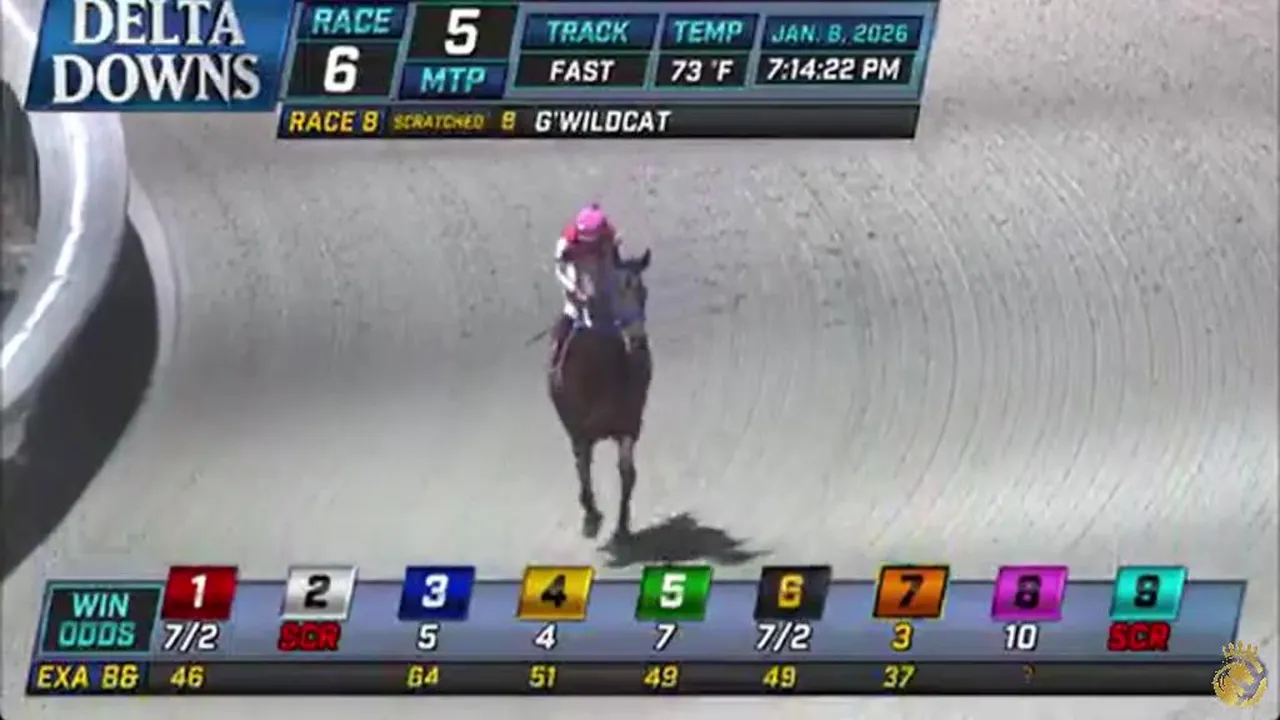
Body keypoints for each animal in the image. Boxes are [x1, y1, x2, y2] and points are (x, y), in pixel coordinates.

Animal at [549, 249, 652, 543]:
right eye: (616, 289)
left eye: (644, 292)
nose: (637, 339)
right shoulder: (578, 431)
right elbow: (583, 470)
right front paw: (591, 519)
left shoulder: (628, 424)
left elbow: (627, 473)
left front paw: (622, 526)